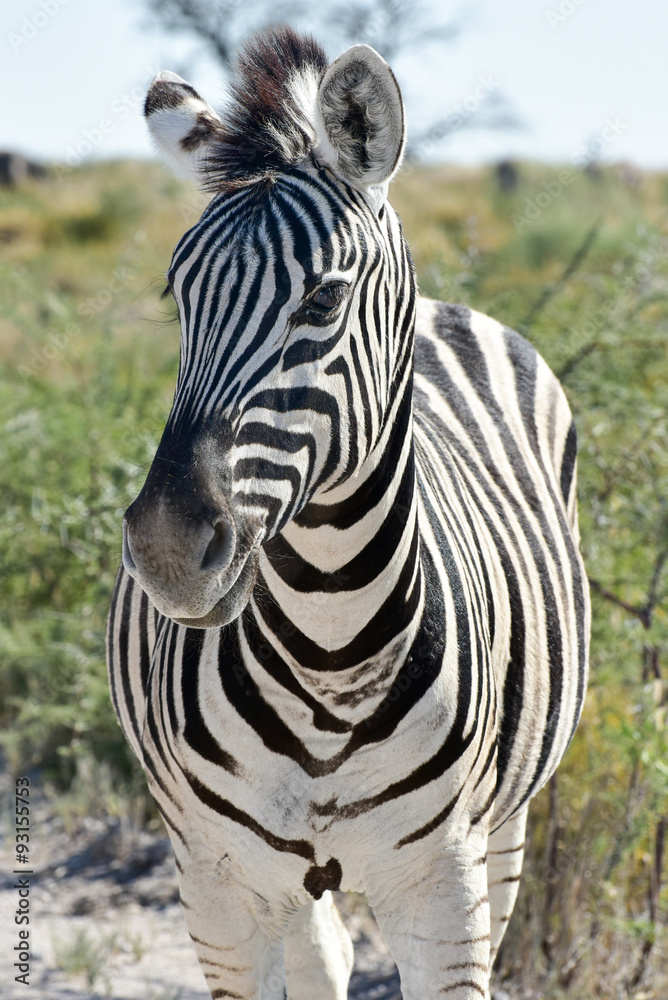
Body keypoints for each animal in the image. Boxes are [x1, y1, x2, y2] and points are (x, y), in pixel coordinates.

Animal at [107, 26, 589, 1000]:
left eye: (323, 299)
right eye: (178, 298)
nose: (169, 549)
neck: (328, 648)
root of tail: (443, 306)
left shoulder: (443, 885)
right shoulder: (215, 888)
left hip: (508, 830)